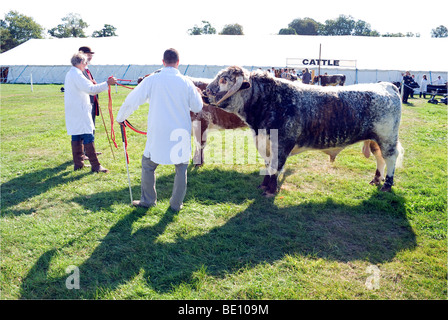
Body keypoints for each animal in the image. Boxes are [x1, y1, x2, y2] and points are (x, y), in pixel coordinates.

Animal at [205, 65, 404, 196]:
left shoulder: (282, 144)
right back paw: (376, 179)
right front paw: (264, 185)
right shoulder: (264, 143)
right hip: (375, 139)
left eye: (224, 79)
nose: (205, 93)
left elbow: (275, 167)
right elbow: (268, 166)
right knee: (379, 158)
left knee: (390, 158)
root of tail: (386, 85)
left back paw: (387, 184)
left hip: (387, 138)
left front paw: (270, 190)